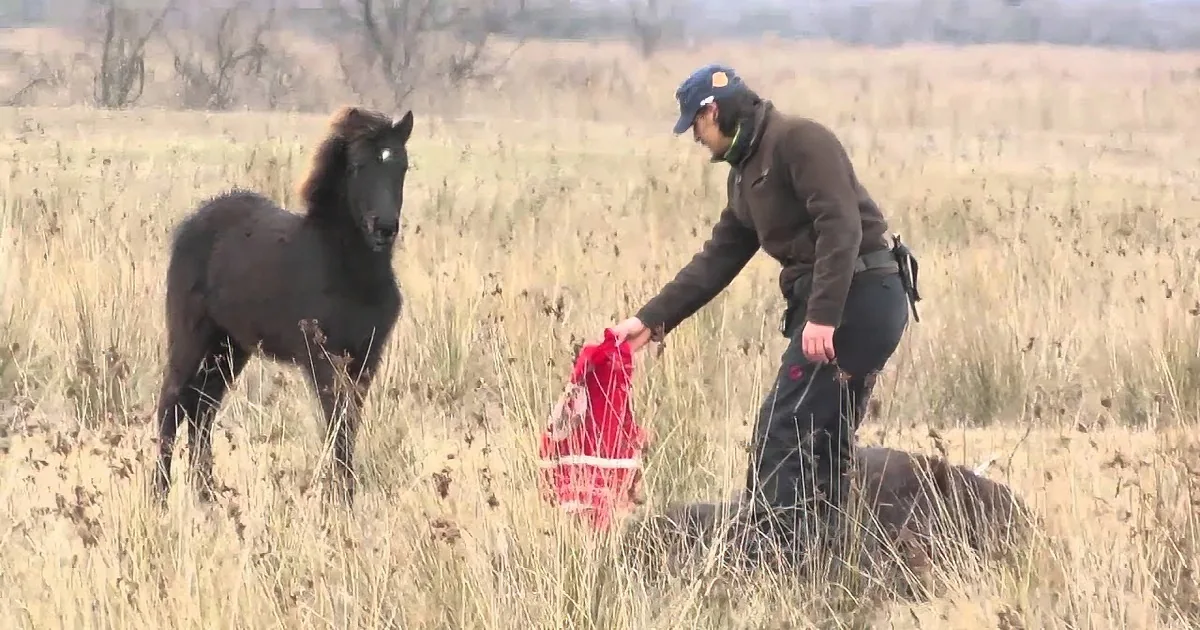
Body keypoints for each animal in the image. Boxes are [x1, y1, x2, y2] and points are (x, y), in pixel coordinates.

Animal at [151, 106, 415, 508]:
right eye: (357, 166)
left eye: (402, 165)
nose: (384, 227)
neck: (347, 269)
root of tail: (191, 223)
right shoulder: (322, 357)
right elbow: (336, 423)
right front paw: (339, 502)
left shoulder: (366, 357)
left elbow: (349, 423)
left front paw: (345, 496)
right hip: (191, 337)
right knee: (172, 402)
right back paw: (160, 495)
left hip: (230, 348)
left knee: (203, 409)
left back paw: (207, 495)